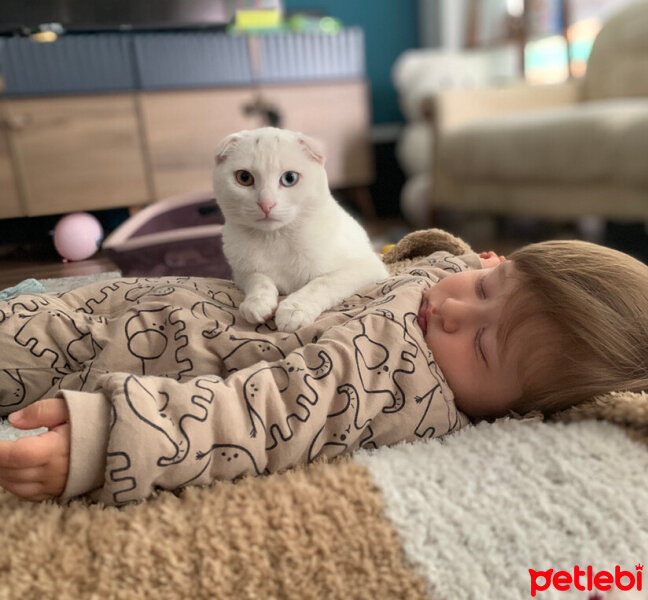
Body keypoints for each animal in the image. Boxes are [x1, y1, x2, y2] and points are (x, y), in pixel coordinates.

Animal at [213, 127, 388, 332]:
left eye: (290, 178)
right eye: (244, 178)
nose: (266, 204)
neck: (275, 239)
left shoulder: (366, 267)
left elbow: (321, 283)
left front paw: (294, 310)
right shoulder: (240, 273)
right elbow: (258, 278)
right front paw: (257, 303)